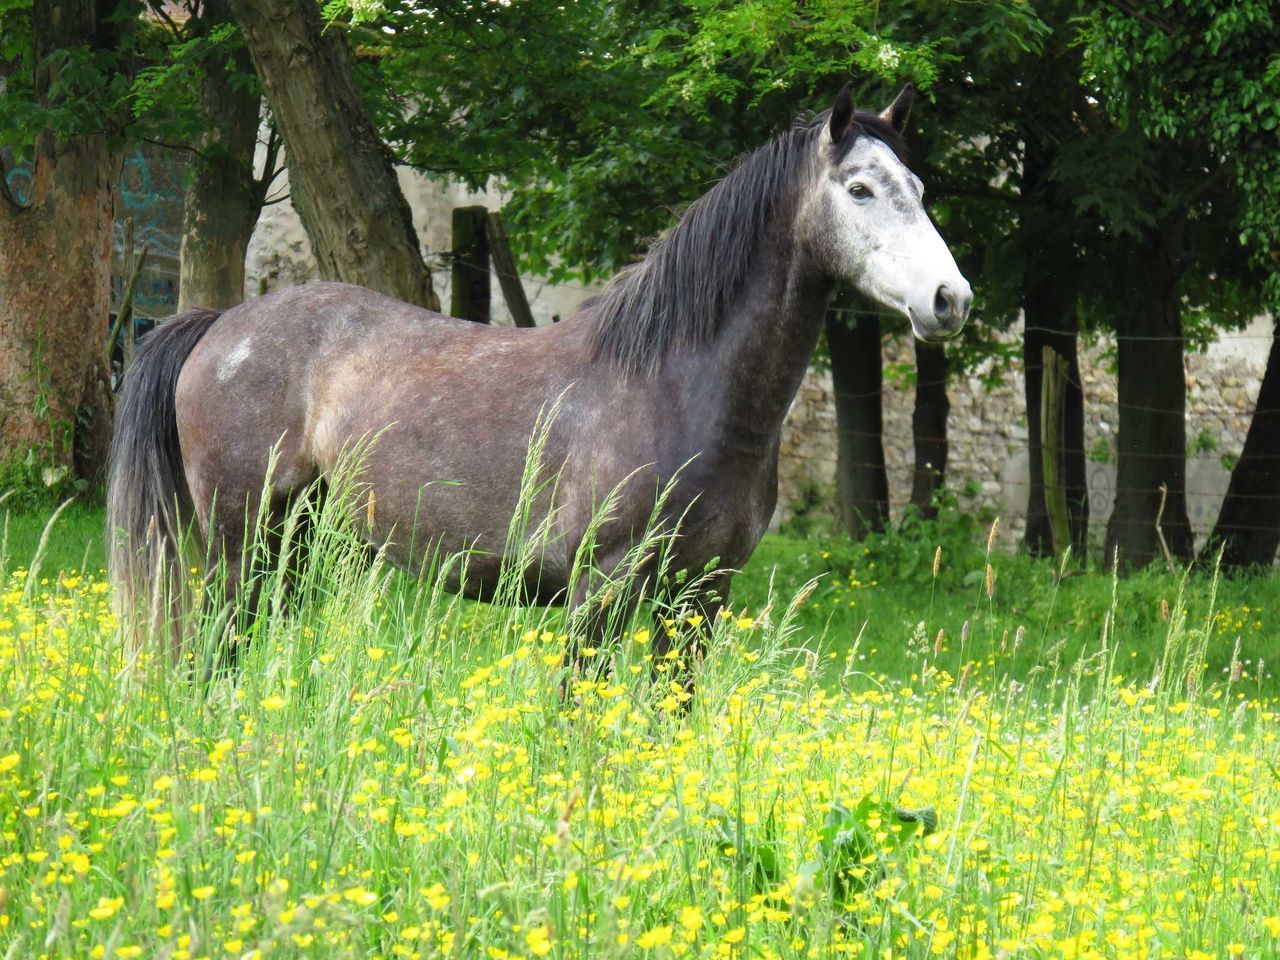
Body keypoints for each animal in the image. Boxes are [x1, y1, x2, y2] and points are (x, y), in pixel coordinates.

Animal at [107, 86, 967, 665]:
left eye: (922, 191)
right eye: (858, 189)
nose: (949, 299)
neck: (678, 391)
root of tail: (222, 325)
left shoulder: (699, 596)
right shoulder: (600, 593)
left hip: (294, 547)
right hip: (239, 546)